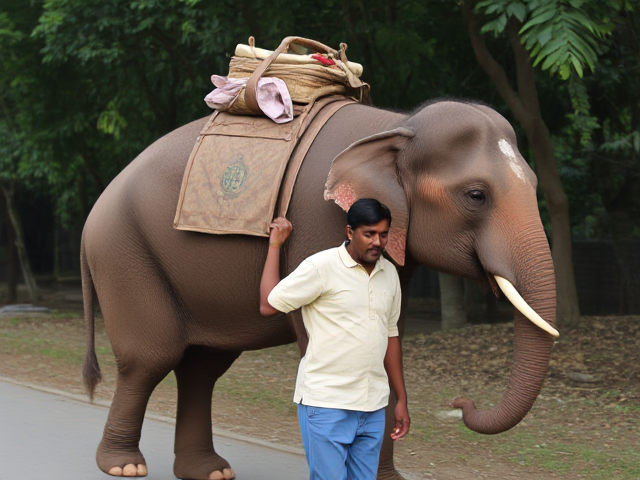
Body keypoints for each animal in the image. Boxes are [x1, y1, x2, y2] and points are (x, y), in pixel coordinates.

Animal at [81, 99, 559, 480]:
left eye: (537, 186)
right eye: (476, 195)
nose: (462, 402)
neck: (398, 126)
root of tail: (90, 218)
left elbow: (388, 344)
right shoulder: (317, 221)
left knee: (202, 368)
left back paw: (209, 471)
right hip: (124, 255)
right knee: (150, 358)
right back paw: (125, 466)